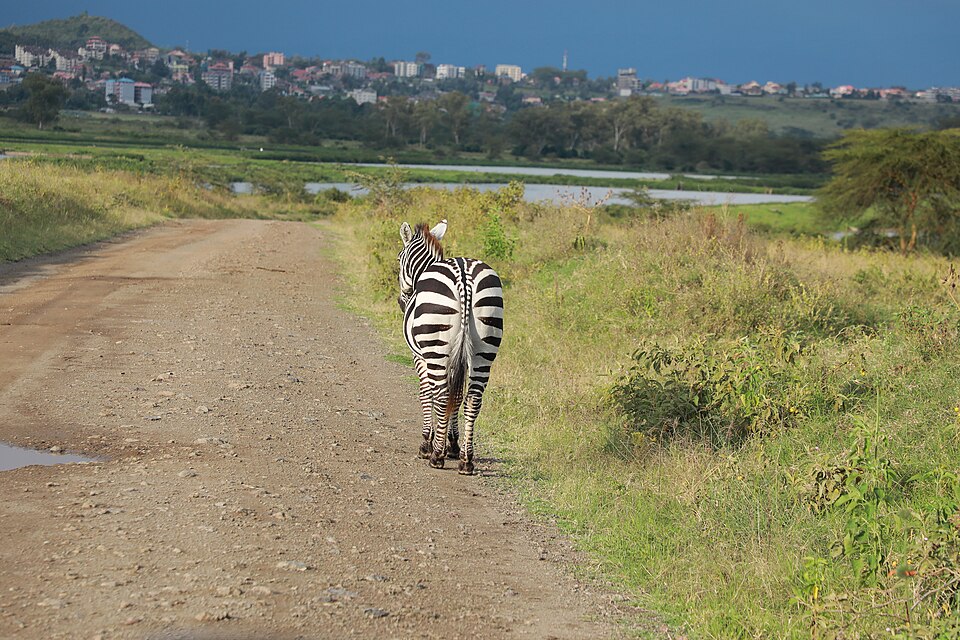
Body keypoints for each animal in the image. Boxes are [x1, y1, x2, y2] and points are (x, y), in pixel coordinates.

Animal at [397, 219, 503, 475]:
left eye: (398, 258)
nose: (402, 300)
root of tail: (464, 277)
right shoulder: (460, 359)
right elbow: (458, 395)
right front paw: (453, 444)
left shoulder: (419, 356)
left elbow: (427, 393)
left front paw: (428, 443)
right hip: (484, 347)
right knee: (473, 399)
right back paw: (466, 460)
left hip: (436, 346)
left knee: (442, 395)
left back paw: (436, 456)